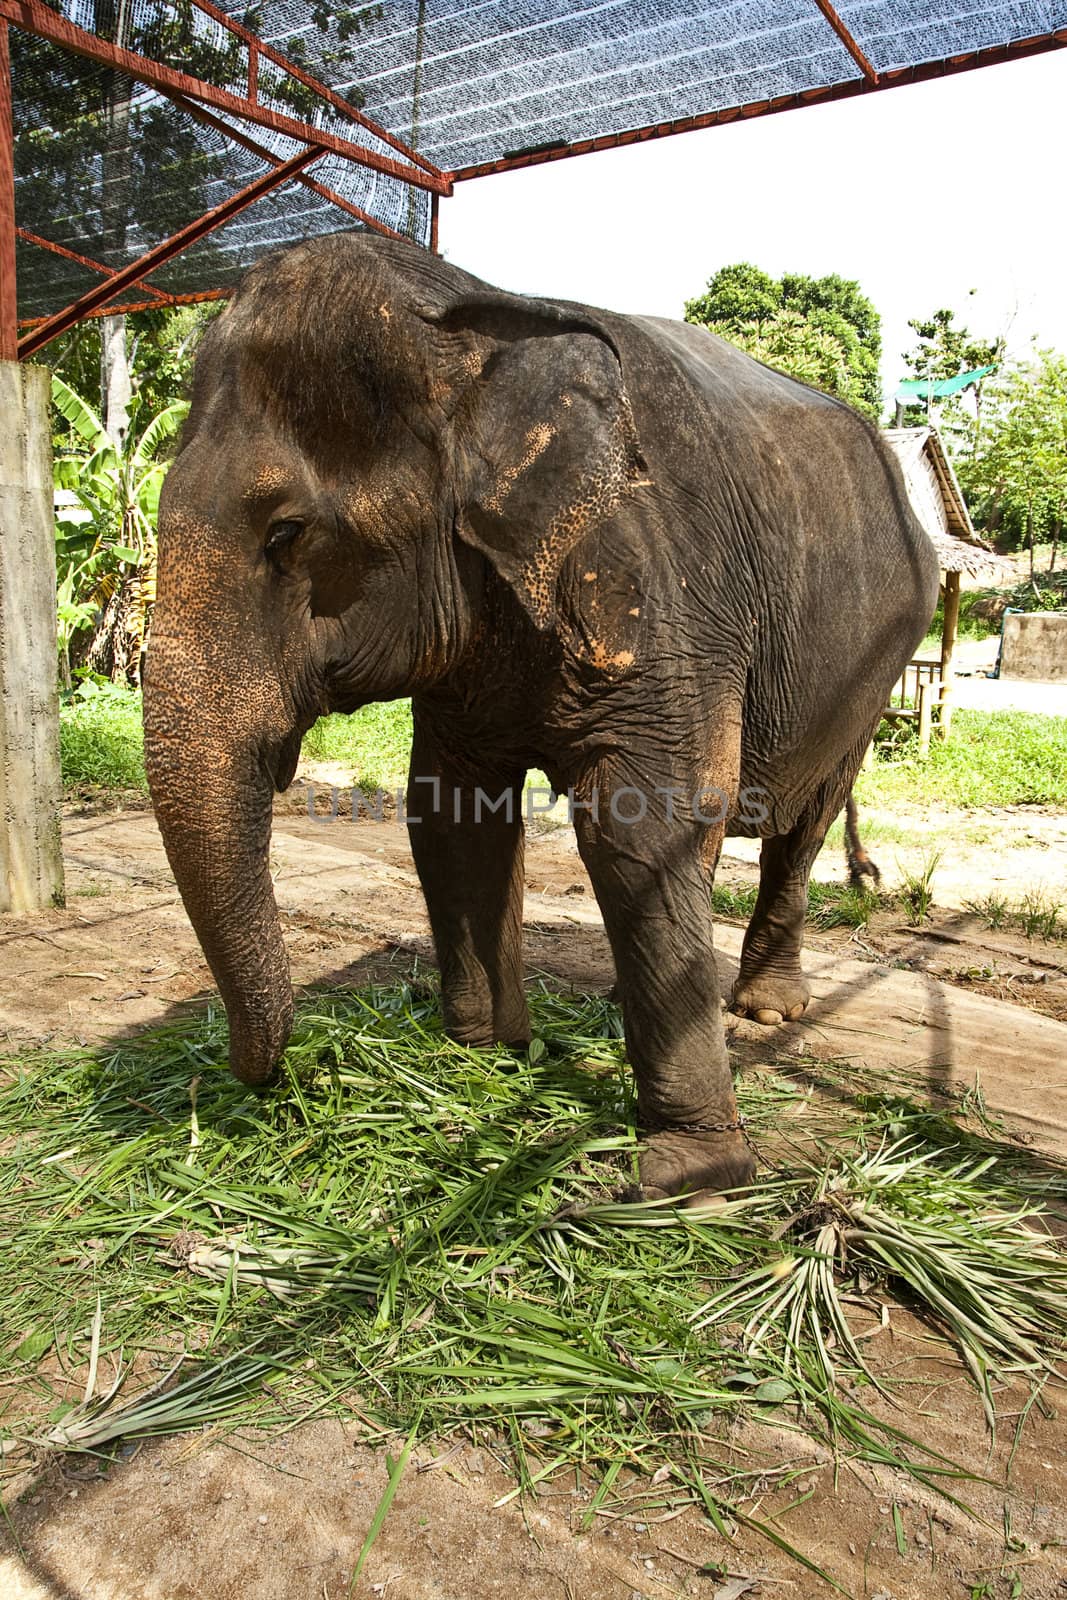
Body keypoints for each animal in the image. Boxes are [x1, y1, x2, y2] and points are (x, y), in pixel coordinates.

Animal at [146, 228, 940, 1203]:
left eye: (285, 535)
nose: (263, 1078)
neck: (474, 321)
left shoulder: (665, 590)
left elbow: (641, 821)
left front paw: (687, 1175)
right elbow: (451, 814)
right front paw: (483, 1056)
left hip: (876, 663)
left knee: (803, 822)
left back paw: (758, 1011)